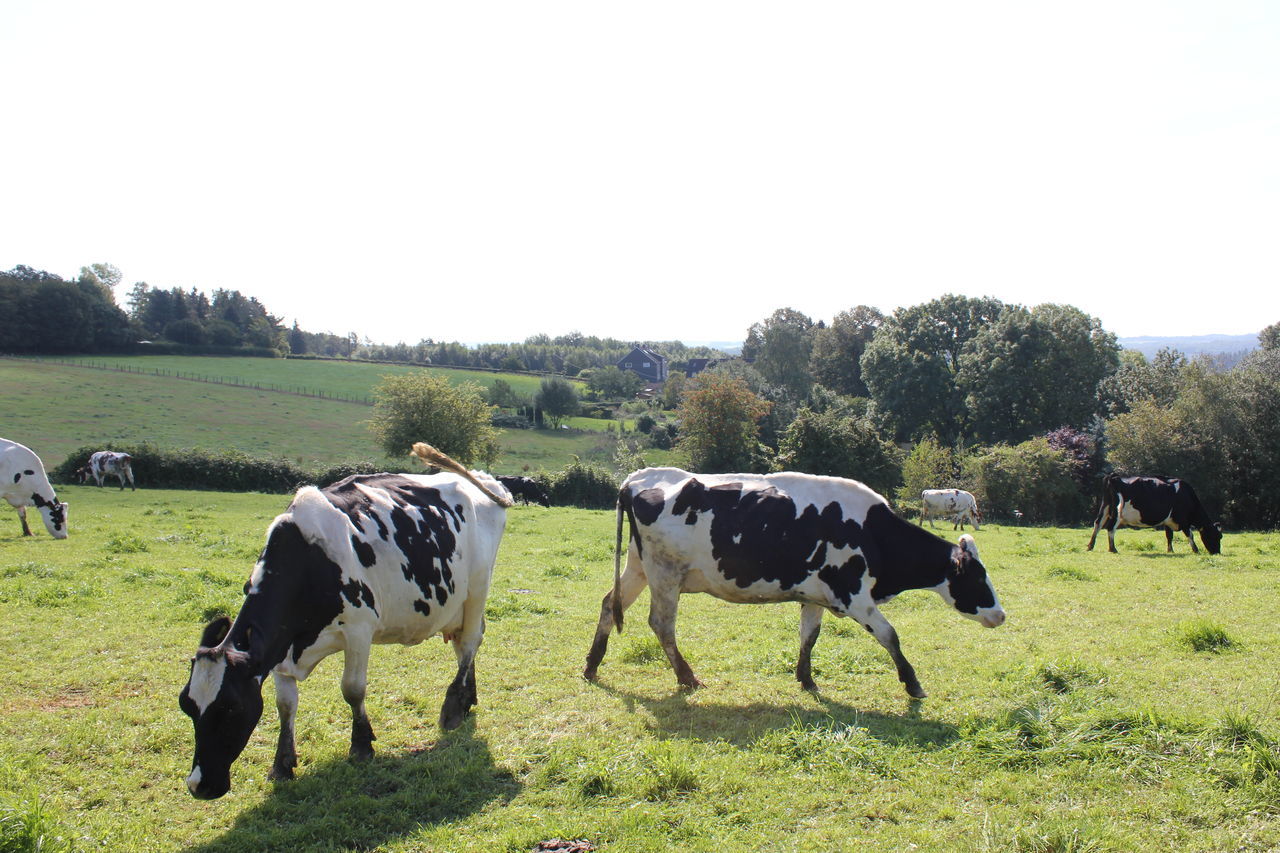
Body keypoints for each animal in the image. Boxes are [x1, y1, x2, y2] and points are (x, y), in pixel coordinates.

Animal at [180, 440, 509, 799]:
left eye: (231, 708)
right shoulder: (279, 647)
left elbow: (352, 689)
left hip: (477, 587)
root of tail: (482, 478)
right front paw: (282, 764)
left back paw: (452, 708)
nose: (200, 785)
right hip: (457, 604)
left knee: (470, 642)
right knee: (467, 642)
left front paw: (362, 745)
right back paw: (467, 699)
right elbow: (285, 704)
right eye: (187, 705)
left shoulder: (359, 629)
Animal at [583, 466, 1008, 696]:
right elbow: (891, 636)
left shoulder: (815, 595)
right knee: (661, 624)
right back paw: (687, 677)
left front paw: (806, 678)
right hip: (665, 574)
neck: (872, 532)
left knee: (608, 603)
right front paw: (913, 684)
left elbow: (809, 636)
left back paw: (591, 665)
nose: (1001, 615)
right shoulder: (853, 595)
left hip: (639, 568)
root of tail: (640, 478)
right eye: (977, 577)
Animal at [1085, 468, 1223, 555]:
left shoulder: (1168, 520)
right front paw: (1196, 550)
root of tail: (1113, 477)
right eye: (1216, 536)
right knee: (1110, 527)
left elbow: (1169, 535)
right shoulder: (1183, 521)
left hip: (1105, 506)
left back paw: (1090, 546)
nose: (1217, 552)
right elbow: (1190, 535)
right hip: (1117, 511)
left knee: (1098, 523)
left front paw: (1170, 550)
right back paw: (1112, 549)